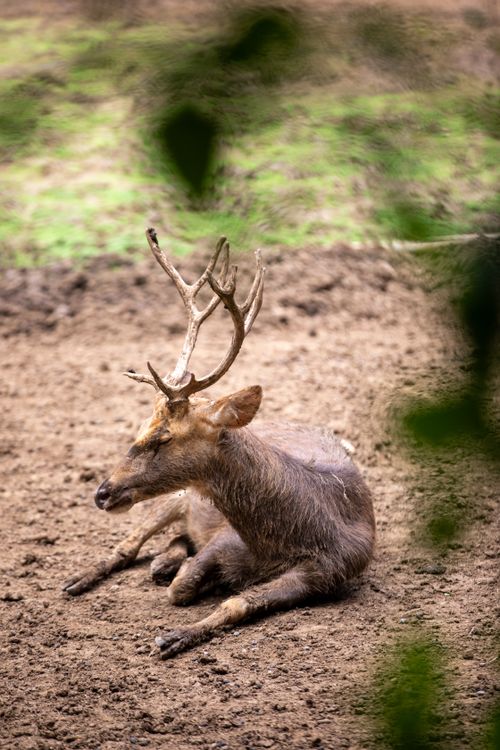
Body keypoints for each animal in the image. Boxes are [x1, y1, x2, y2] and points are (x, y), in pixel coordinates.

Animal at [63, 228, 376, 659]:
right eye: (141, 427)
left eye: (164, 437)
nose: (102, 493)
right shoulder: (224, 536)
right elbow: (181, 587)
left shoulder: (329, 572)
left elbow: (236, 602)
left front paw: (175, 636)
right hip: (176, 497)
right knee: (129, 545)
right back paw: (79, 579)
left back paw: (164, 561)